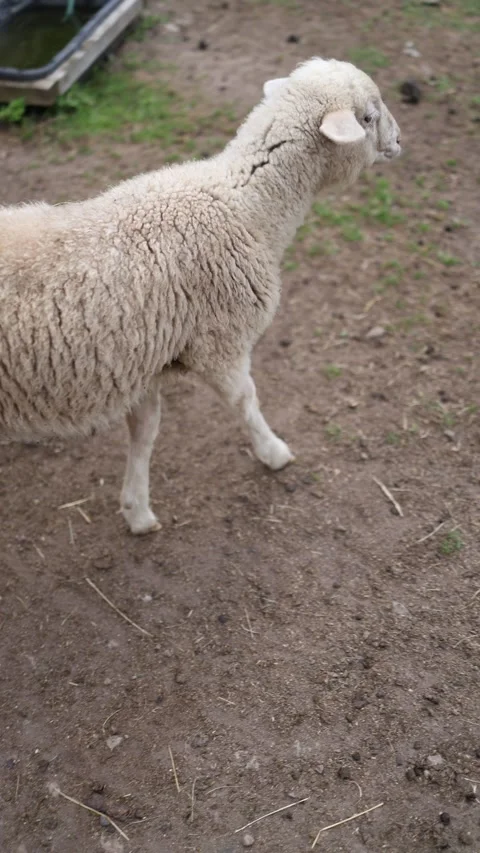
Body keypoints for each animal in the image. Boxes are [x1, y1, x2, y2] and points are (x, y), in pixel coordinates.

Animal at [0, 58, 401, 534]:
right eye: (369, 118)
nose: (400, 140)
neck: (244, 207)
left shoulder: (142, 360)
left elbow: (146, 431)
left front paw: (137, 509)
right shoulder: (219, 343)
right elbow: (246, 401)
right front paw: (273, 452)